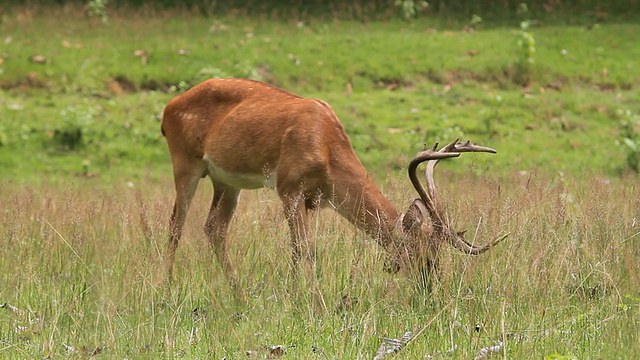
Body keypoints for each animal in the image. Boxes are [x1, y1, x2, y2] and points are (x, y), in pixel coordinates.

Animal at [160, 78, 504, 304]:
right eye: (425, 255)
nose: (430, 290)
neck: (326, 149)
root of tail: (166, 110)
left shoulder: (314, 199)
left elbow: (299, 249)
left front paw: (297, 296)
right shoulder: (288, 186)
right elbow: (305, 248)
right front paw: (315, 302)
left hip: (227, 181)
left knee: (214, 227)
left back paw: (240, 296)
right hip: (184, 161)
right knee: (175, 225)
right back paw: (167, 292)